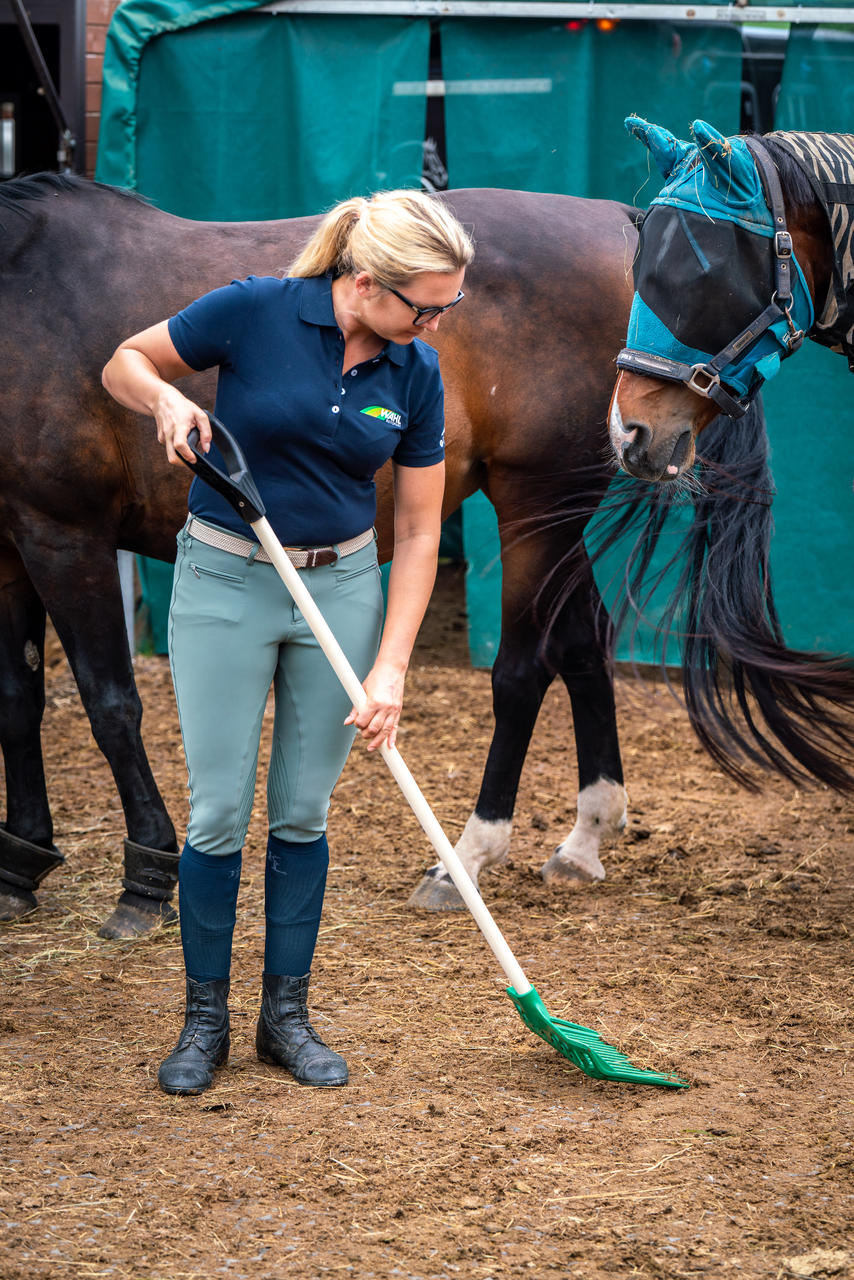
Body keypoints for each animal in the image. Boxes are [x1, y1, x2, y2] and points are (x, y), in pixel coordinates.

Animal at [0, 172, 850, 942]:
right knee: (585, 644)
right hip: (556, 514)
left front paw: (144, 877)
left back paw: (467, 856)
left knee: (524, 670)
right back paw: (584, 837)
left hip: (534, 505)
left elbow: (110, 701)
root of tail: (619, 222)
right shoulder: (10, 543)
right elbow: (19, 695)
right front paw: (21, 859)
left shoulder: (61, 531)